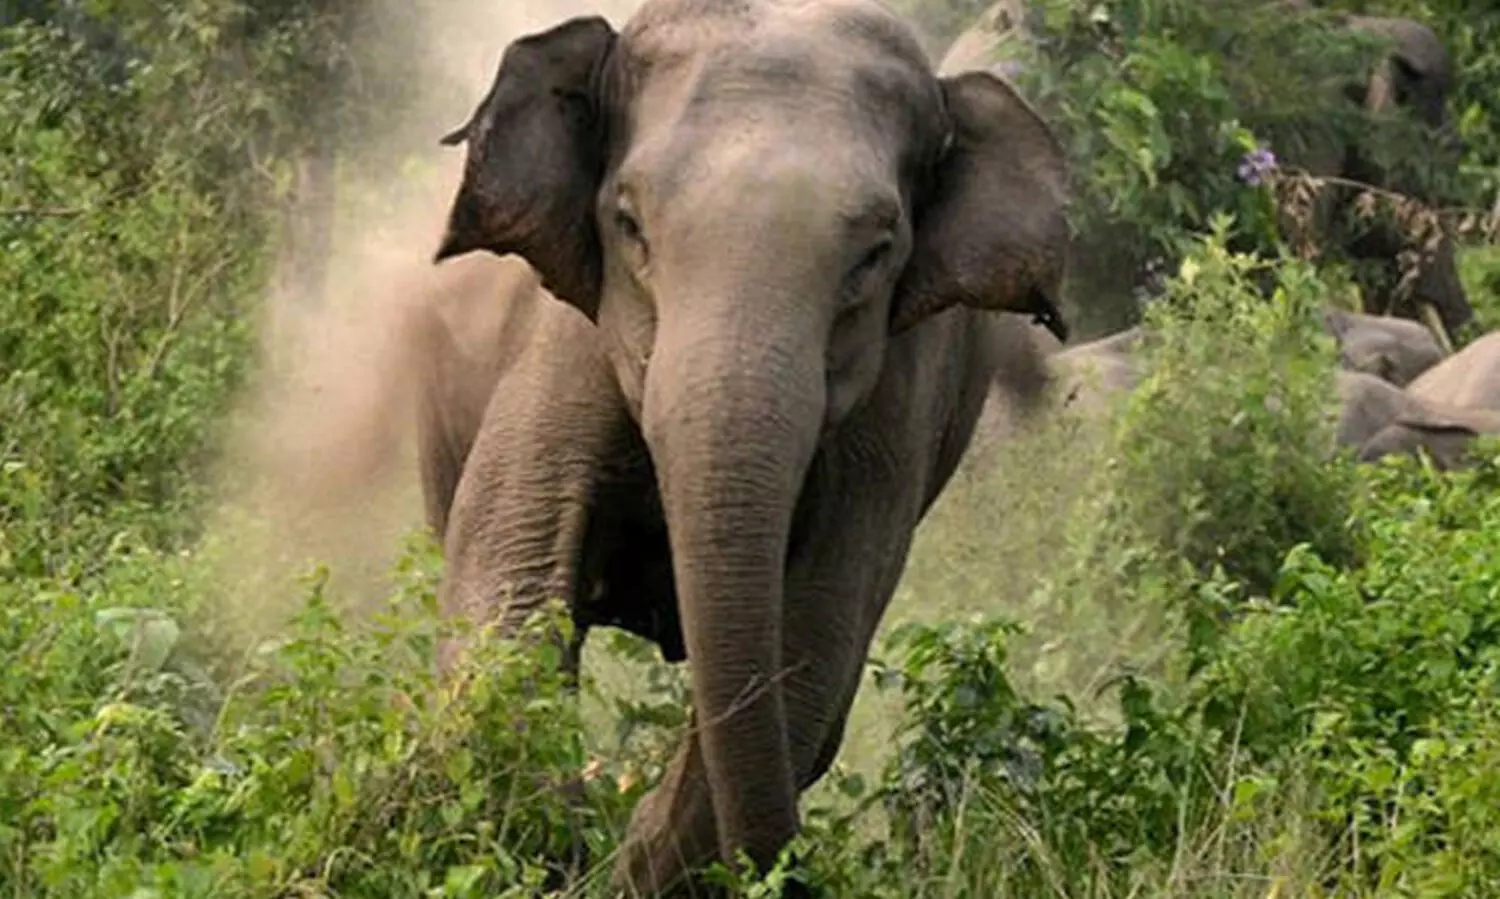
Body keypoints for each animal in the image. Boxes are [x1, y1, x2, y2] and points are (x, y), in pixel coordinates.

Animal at [427, 0, 1069, 894]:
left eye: (876, 254)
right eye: (629, 224)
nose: (785, 869)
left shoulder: (897, 407)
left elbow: (814, 647)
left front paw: (628, 862)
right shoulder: (564, 341)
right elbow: (508, 577)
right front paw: (559, 848)